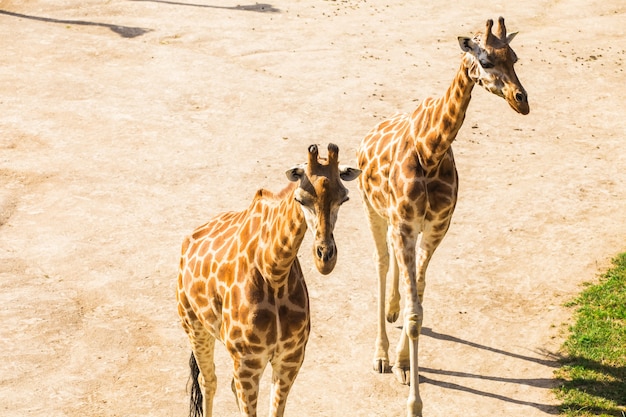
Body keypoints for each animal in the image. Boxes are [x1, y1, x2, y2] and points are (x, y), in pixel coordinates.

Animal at [176, 144, 360, 416]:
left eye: (343, 199)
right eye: (300, 199)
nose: (325, 258)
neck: (275, 272)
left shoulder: (290, 359)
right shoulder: (247, 363)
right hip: (194, 326)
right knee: (208, 380)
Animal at [356, 17, 528, 416]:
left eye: (514, 58)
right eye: (485, 60)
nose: (522, 101)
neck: (430, 150)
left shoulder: (434, 228)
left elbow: (418, 301)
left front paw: (404, 364)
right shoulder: (405, 226)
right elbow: (415, 313)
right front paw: (413, 402)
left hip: (402, 225)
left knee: (396, 270)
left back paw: (392, 317)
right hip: (373, 209)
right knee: (380, 262)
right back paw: (380, 354)